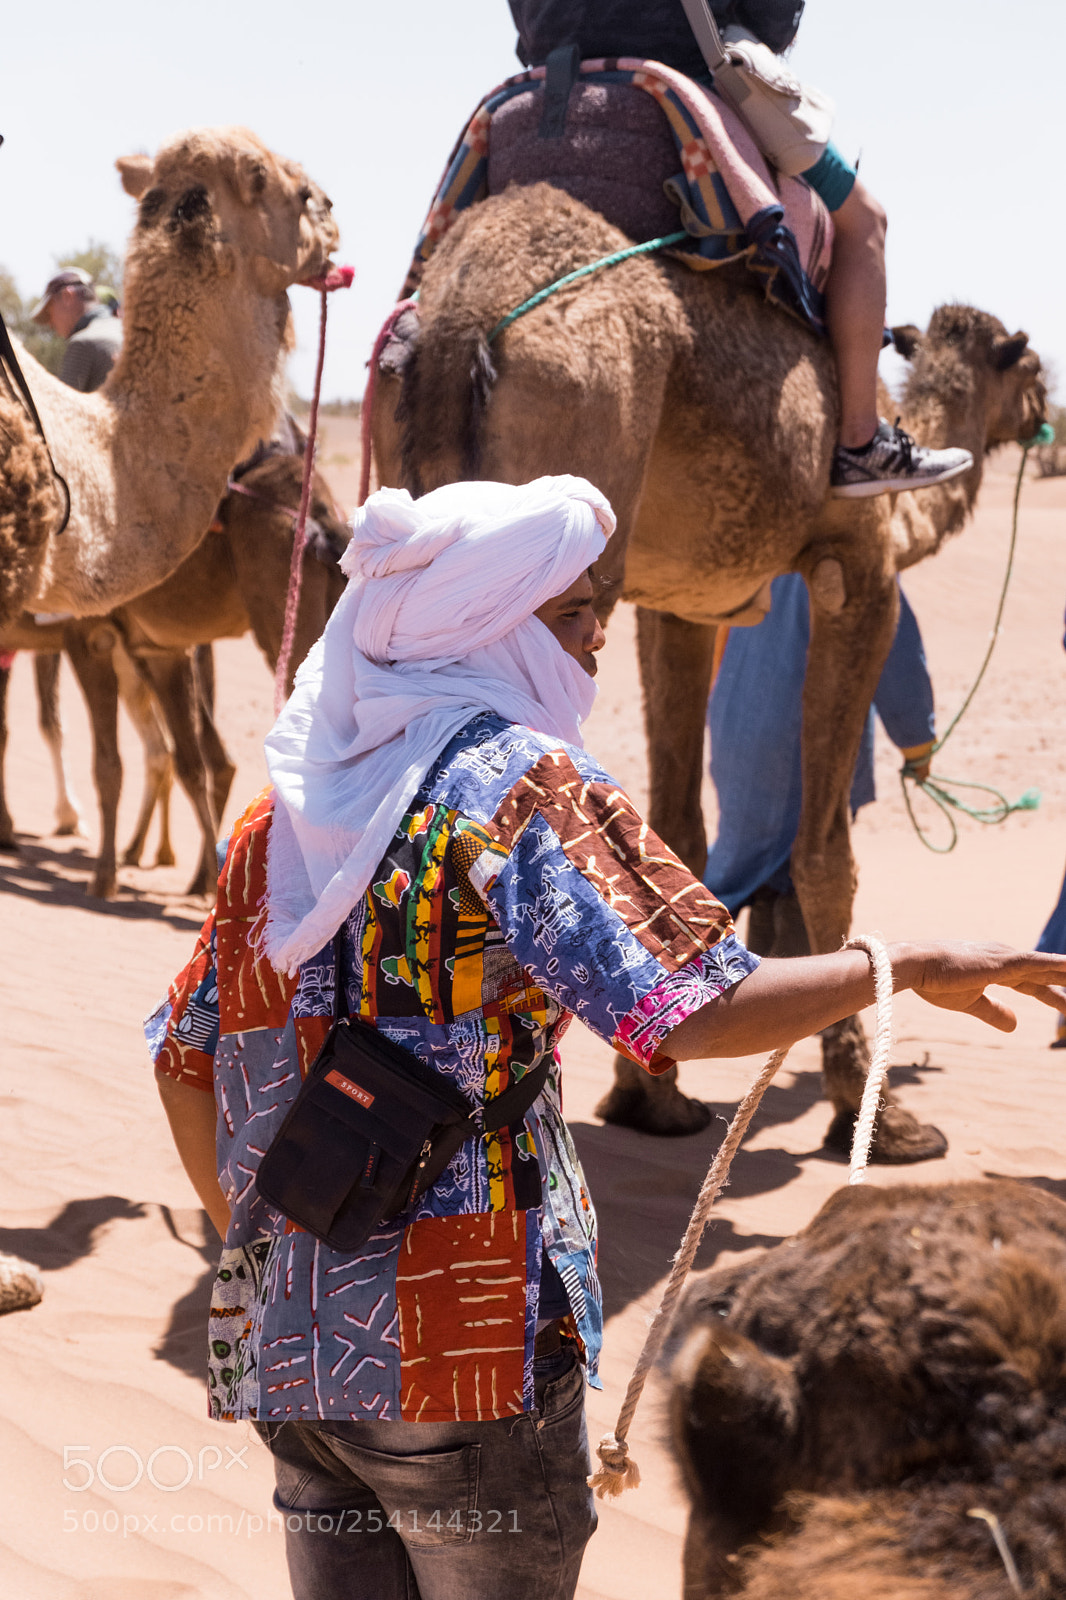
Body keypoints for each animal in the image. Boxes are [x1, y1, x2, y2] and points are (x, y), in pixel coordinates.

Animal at [0, 445, 347, 897]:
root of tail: (324, 516)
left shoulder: (90, 637)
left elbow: (104, 760)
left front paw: (102, 874)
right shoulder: (150, 648)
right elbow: (185, 762)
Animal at [371, 179, 1046, 1162]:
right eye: (1030, 368)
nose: (1049, 418)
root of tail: (463, 313)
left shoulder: (683, 603)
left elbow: (682, 822)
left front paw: (653, 1100)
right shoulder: (860, 569)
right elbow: (826, 850)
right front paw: (875, 1117)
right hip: (582, 441)